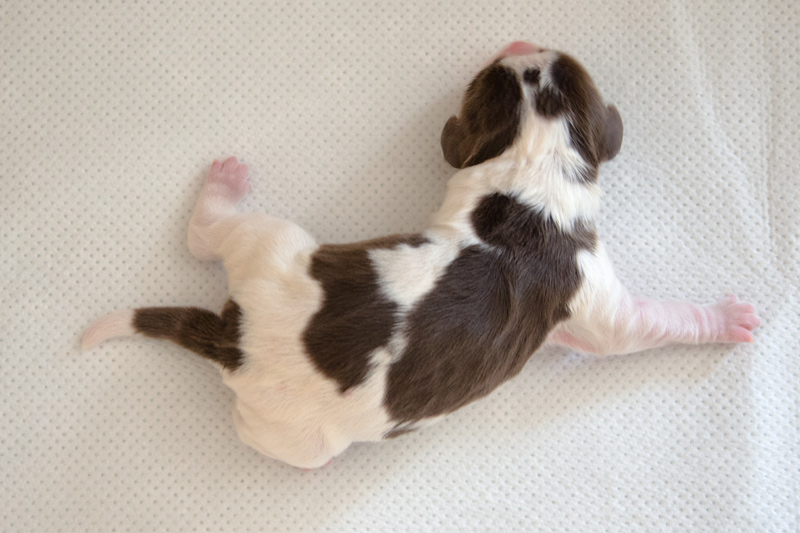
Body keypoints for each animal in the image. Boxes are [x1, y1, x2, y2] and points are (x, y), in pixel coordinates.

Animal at [83, 41, 764, 468]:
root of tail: (233, 336)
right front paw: (727, 319)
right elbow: (647, 324)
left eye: (548, 73)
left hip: (271, 246)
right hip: (294, 434)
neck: (531, 169)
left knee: (214, 237)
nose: (522, 43)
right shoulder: (592, 295)